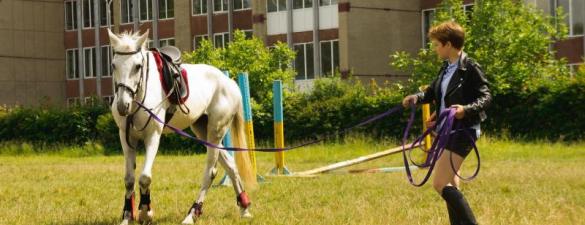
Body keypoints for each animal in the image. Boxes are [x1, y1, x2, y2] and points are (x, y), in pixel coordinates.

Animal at [108, 28, 258, 225]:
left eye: (138, 66)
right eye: (113, 65)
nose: (122, 105)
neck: (138, 97)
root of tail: (230, 82)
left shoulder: (152, 136)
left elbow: (145, 177)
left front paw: (145, 212)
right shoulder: (126, 138)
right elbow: (129, 179)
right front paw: (127, 216)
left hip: (216, 131)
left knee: (211, 171)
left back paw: (192, 214)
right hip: (203, 131)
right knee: (230, 165)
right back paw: (244, 207)